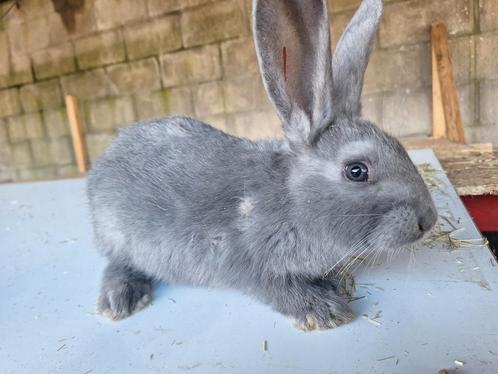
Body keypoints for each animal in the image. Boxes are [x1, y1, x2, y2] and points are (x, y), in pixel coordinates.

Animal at [88, 0, 436, 332]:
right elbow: (275, 286)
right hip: (119, 234)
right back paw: (120, 299)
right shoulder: (243, 257)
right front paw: (323, 310)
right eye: (356, 171)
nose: (428, 220)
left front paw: (335, 285)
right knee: (118, 262)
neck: (293, 201)